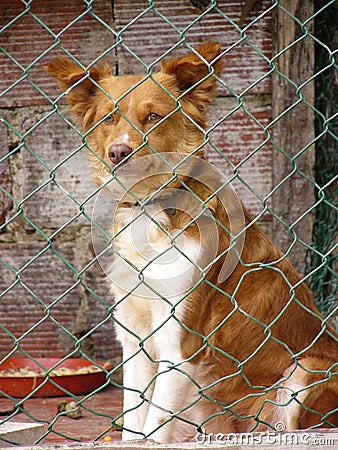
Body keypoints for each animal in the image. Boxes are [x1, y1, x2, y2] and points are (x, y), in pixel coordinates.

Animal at [45, 43, 338, 442]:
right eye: (109, 119)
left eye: (153, 117)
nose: (118, 152)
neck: (150, 208)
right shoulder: (135, 337)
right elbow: (134, 422)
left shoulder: (182, 344)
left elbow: (153, 428)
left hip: (305, 372)